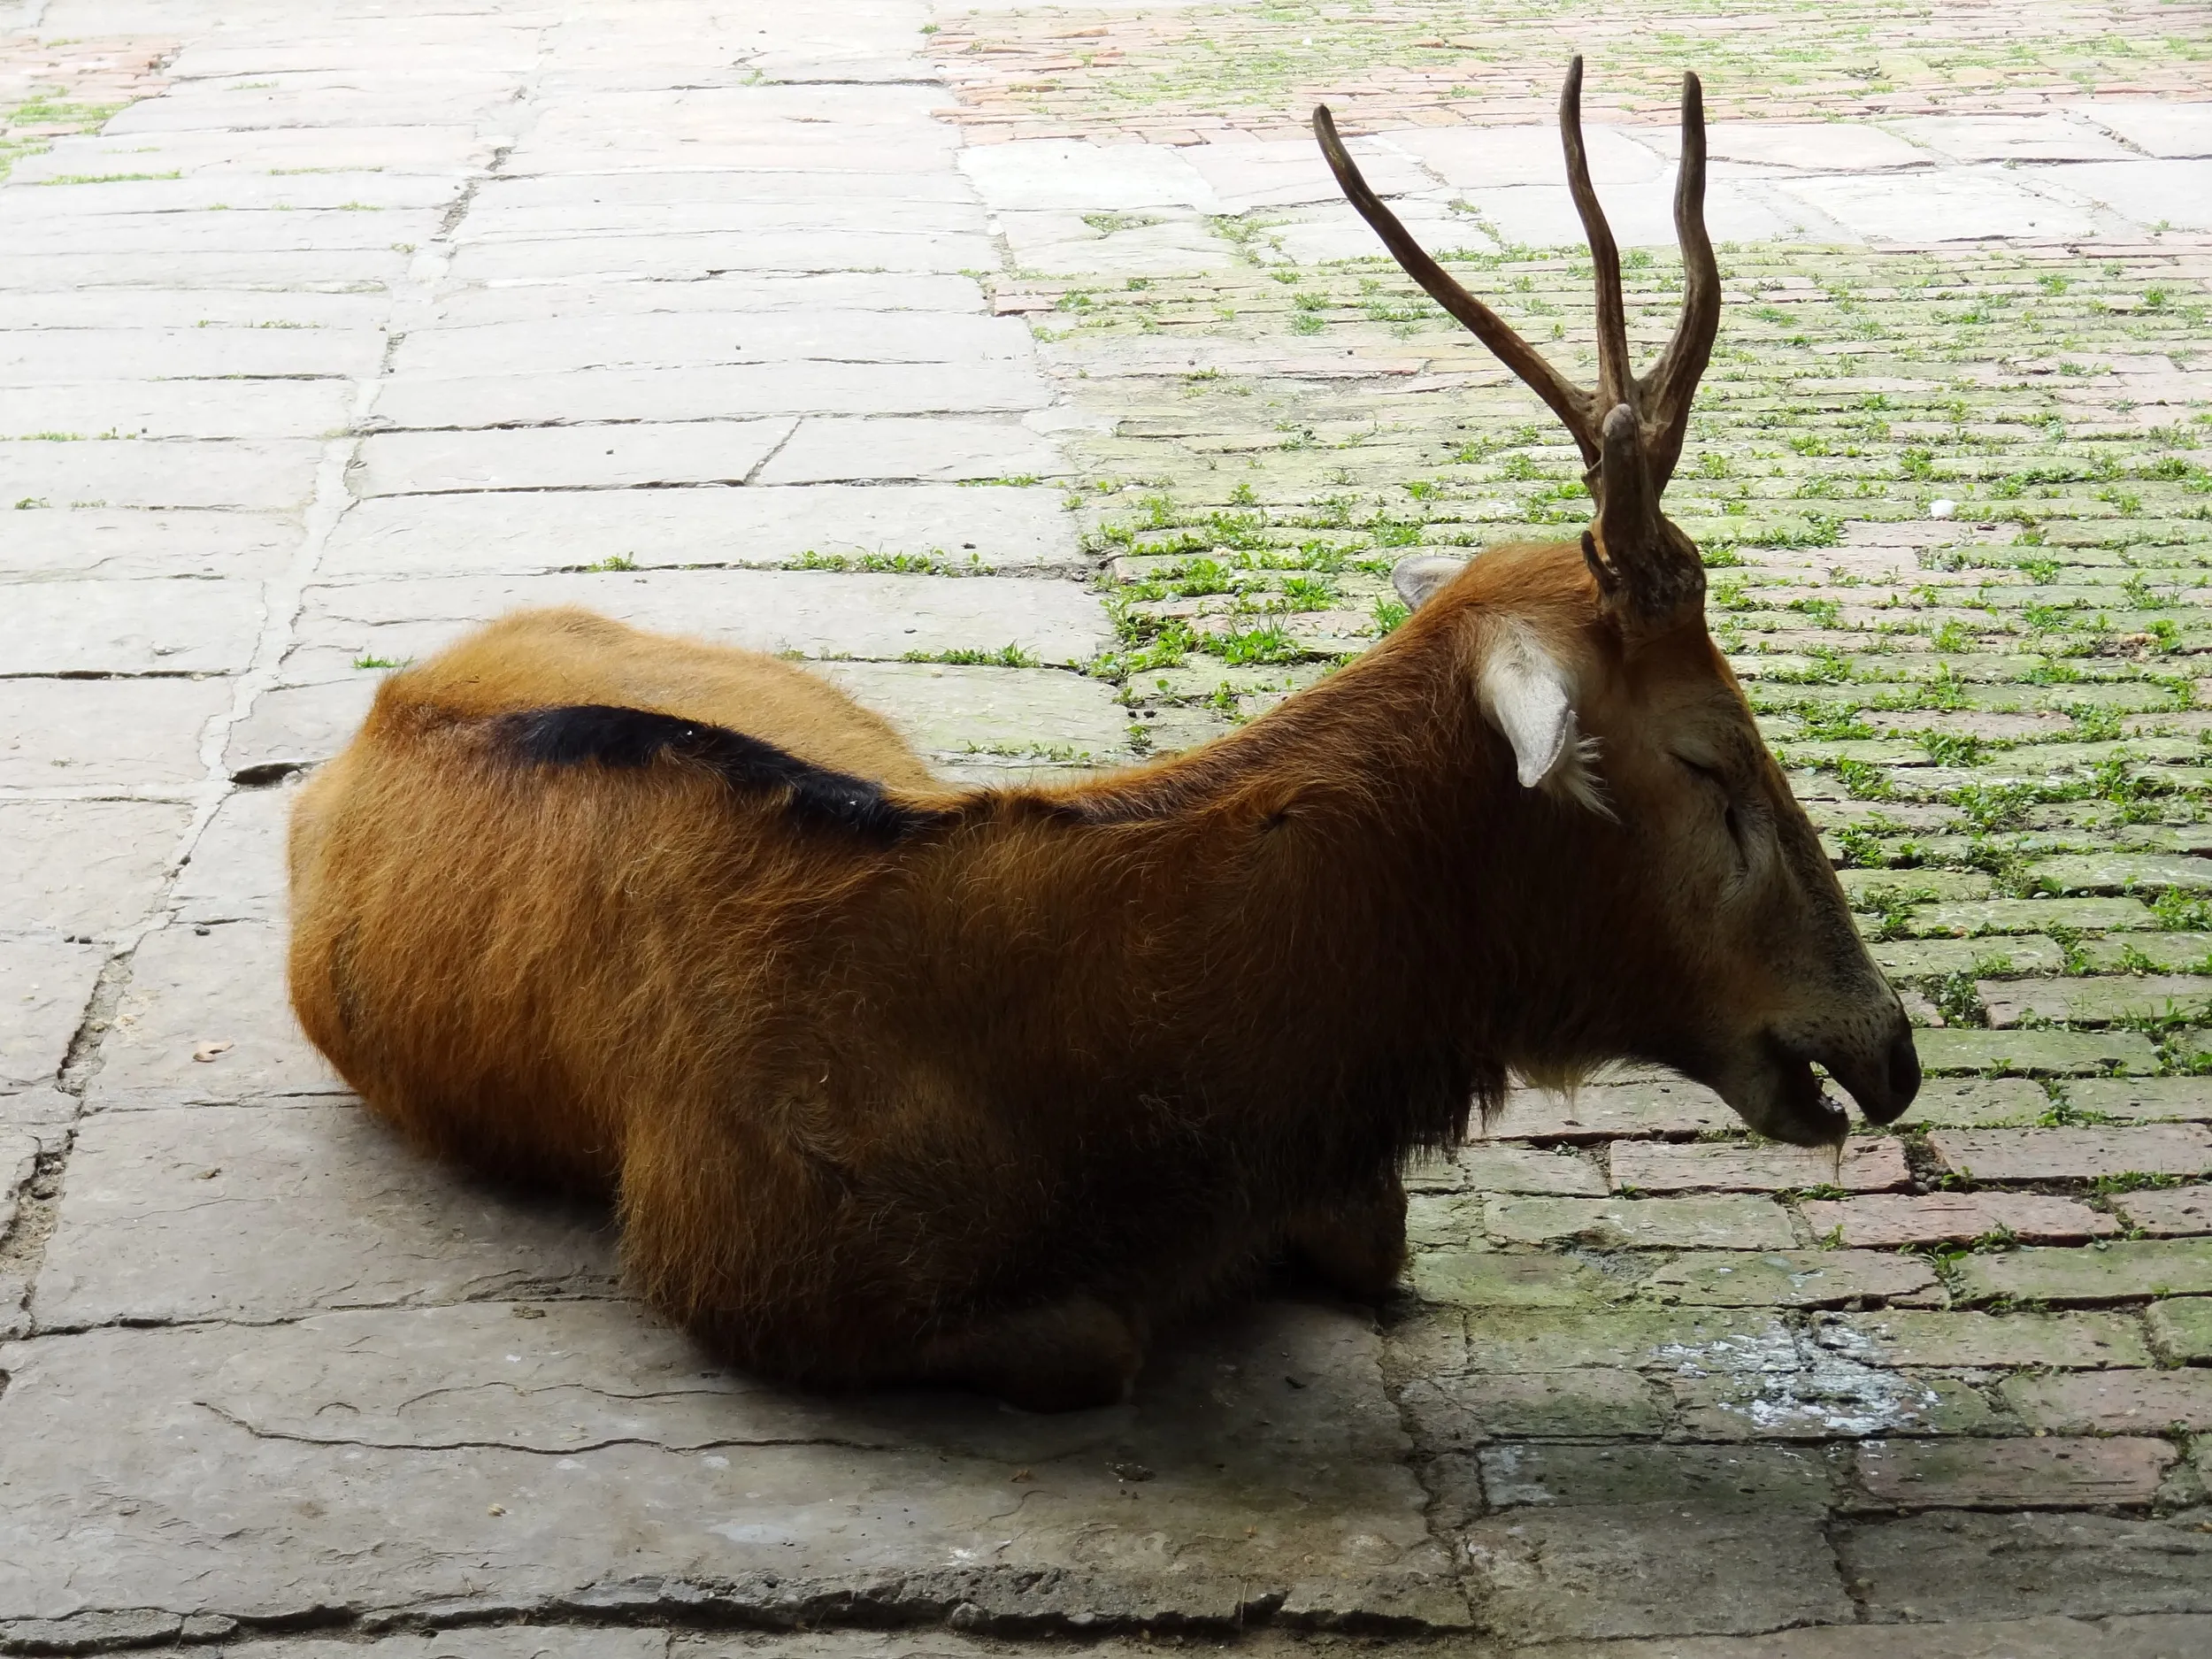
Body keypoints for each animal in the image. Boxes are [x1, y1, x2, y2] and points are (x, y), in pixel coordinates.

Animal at [287, 58, 1919, 1413]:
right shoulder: (743, 1267)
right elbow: (1099, 1339)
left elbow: (1371, 1239)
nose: (1888, 1046)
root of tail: (395, 688)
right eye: (1710, 751)